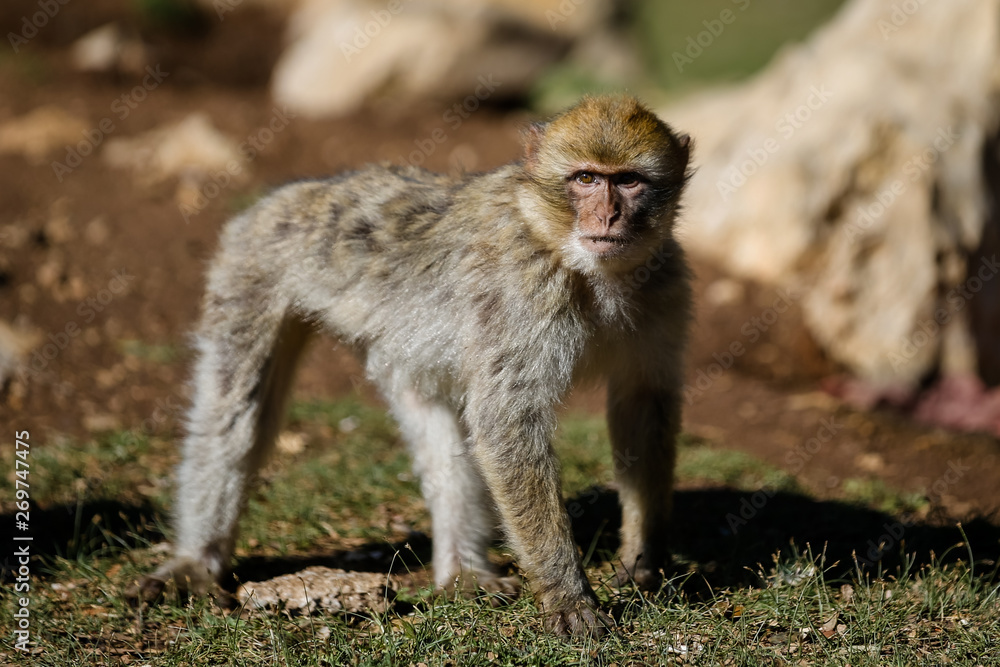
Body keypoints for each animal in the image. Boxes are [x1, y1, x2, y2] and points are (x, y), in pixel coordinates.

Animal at [133, 94, 692, 637]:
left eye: (629, 181)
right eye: (586, 179)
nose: (608, 217)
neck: (582, 262)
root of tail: (283, 197)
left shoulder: (664, 284)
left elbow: (642, 405)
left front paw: (642, 560)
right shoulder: (524, 291)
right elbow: (508, 425)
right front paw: (567, 594)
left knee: (435, 414)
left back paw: (463, 572)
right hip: (249, 269)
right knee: (236, 412)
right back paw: (197, 560)